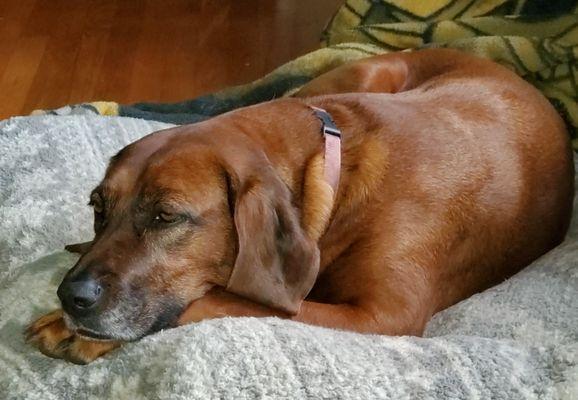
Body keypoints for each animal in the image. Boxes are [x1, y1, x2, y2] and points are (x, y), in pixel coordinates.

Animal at [25, 48, 572, 364]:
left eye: (165, 216)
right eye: (98, 208)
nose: (70, 297)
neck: (334, 175)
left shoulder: (384, 317)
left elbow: (225, 300)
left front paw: (76, 331)